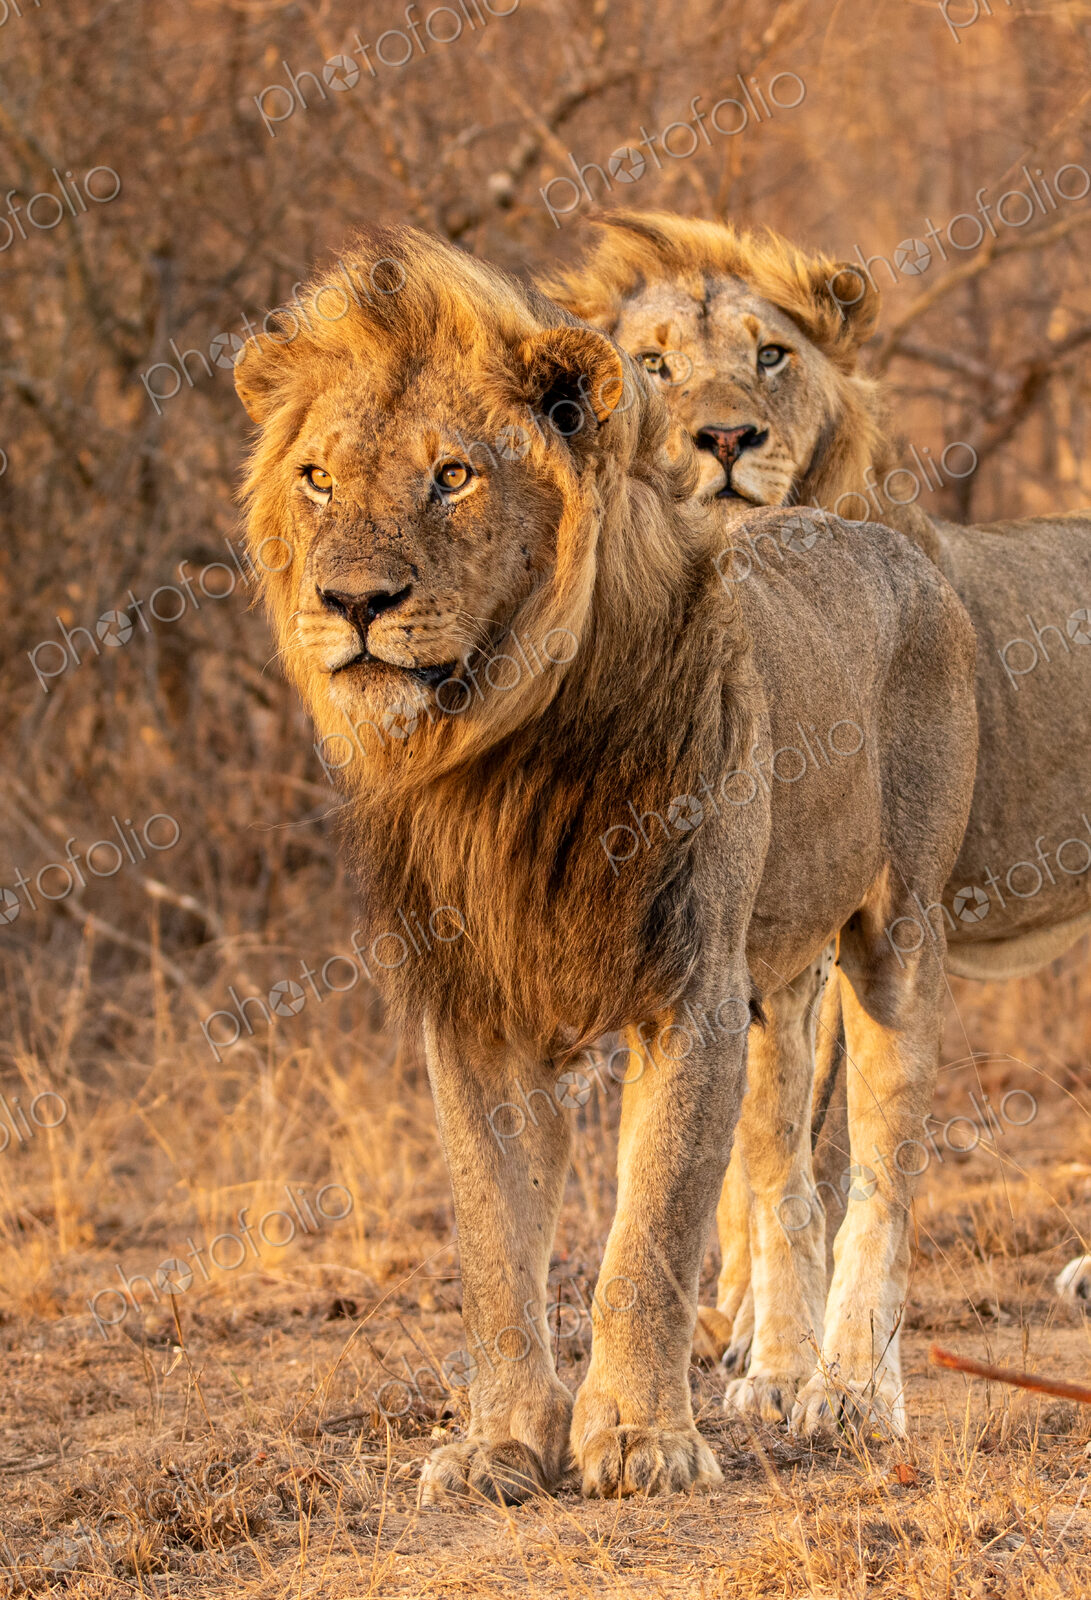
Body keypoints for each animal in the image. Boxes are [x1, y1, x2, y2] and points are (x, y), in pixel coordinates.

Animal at [232, 224, 976, 1497]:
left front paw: (636, 1438)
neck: (497, 757)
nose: (354, 600)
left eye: (453, 476)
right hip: (778, 978)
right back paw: (774, 1370)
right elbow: (494, 1249)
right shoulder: (474, 1011)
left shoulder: (686, 987)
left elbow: (651, 1230)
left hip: (894, 936)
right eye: (318, 477)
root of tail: (882, 533)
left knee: (879, 1171)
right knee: (780, 1171)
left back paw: (847, 1393)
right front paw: (496, 1443)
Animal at [541, 210, 1091, 1423]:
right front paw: (751, 1345)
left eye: (771, 354)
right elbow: (757, 1157)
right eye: (650, 364)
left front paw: (832, 1371)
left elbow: (829, 1155)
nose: (725, 438)